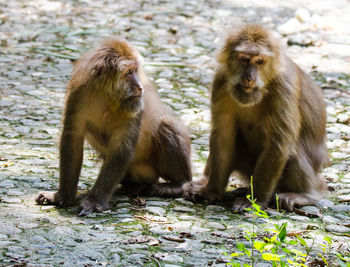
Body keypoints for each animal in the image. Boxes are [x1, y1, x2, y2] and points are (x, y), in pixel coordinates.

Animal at [36, 37, 191, 217]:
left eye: (135, 71)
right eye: (129, 72)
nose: (140, 87)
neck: (108, 98)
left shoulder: (137, 106)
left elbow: (122, 147)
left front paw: (94, 201)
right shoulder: (79, 94)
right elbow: (72, 137)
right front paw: (63, 197)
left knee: (167, 125)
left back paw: (177, 185)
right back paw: (135, 186)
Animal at [185, 25, 330, 214]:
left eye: (259, 61)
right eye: (244, 59)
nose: (249, 78)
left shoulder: (283, 88)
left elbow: (278, 144)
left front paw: (255, 200)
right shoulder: (221, 82)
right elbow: (223, 136)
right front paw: (211, 190)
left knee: (292, 149)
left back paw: (306, 195)